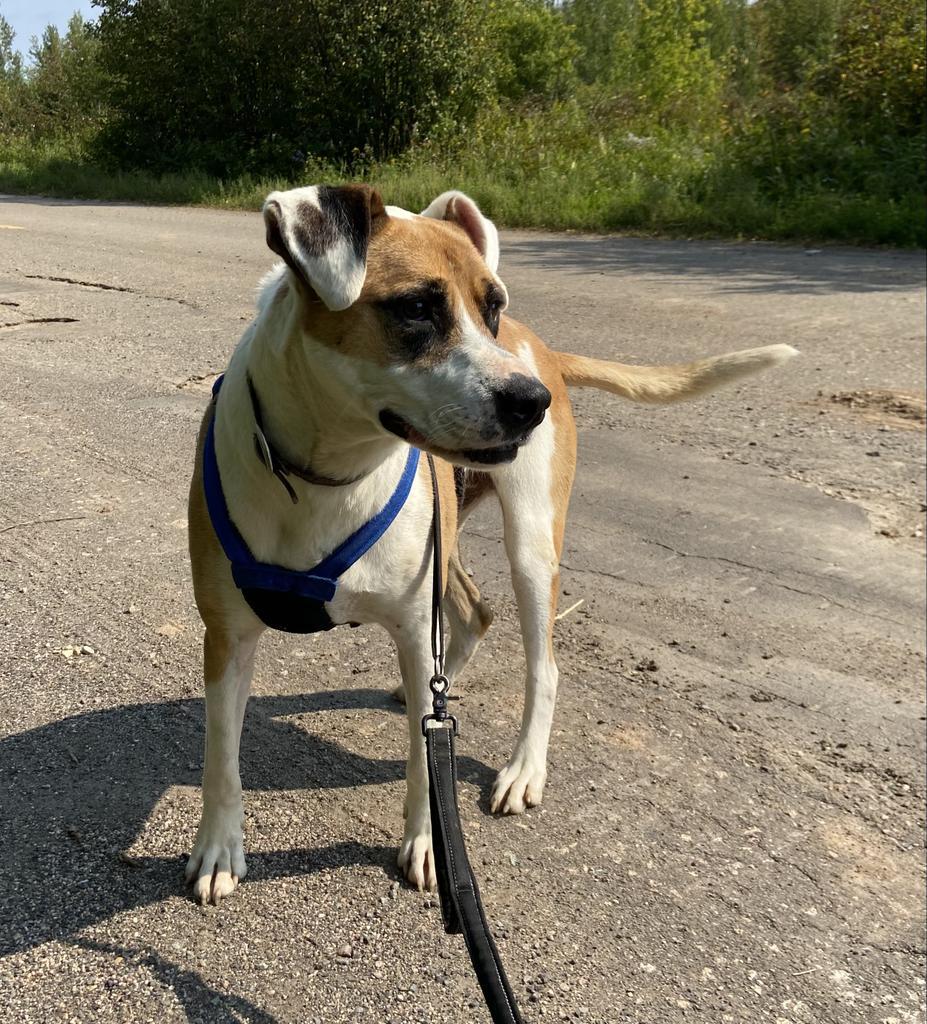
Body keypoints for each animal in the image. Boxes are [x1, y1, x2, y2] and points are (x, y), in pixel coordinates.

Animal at [182, 186, 794, 905]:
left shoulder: (414, 625)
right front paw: (219, 849)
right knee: (474, 612)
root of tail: (543, 351)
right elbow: (220, 756)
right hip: (445, 543)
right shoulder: (226, 636)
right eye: (417, 307)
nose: (530, 402)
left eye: (492, 306)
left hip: (529, 546)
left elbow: (427, 761)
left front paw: (429, 845)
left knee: (542, 665)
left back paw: (523, 768)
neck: (326, 472)